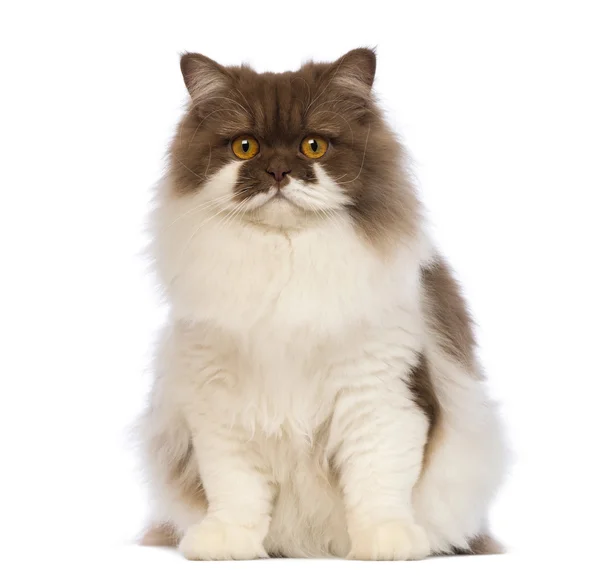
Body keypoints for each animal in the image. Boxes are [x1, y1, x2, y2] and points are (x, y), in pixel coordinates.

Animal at [137, 48, 506, 560]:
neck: (286, 258)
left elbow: (378, 481)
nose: (278, 173)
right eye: (245, 147)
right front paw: (225, 543)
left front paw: (386, 543)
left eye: (314, 146)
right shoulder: (219, 405)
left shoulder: (380, 397)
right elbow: (234, 488)